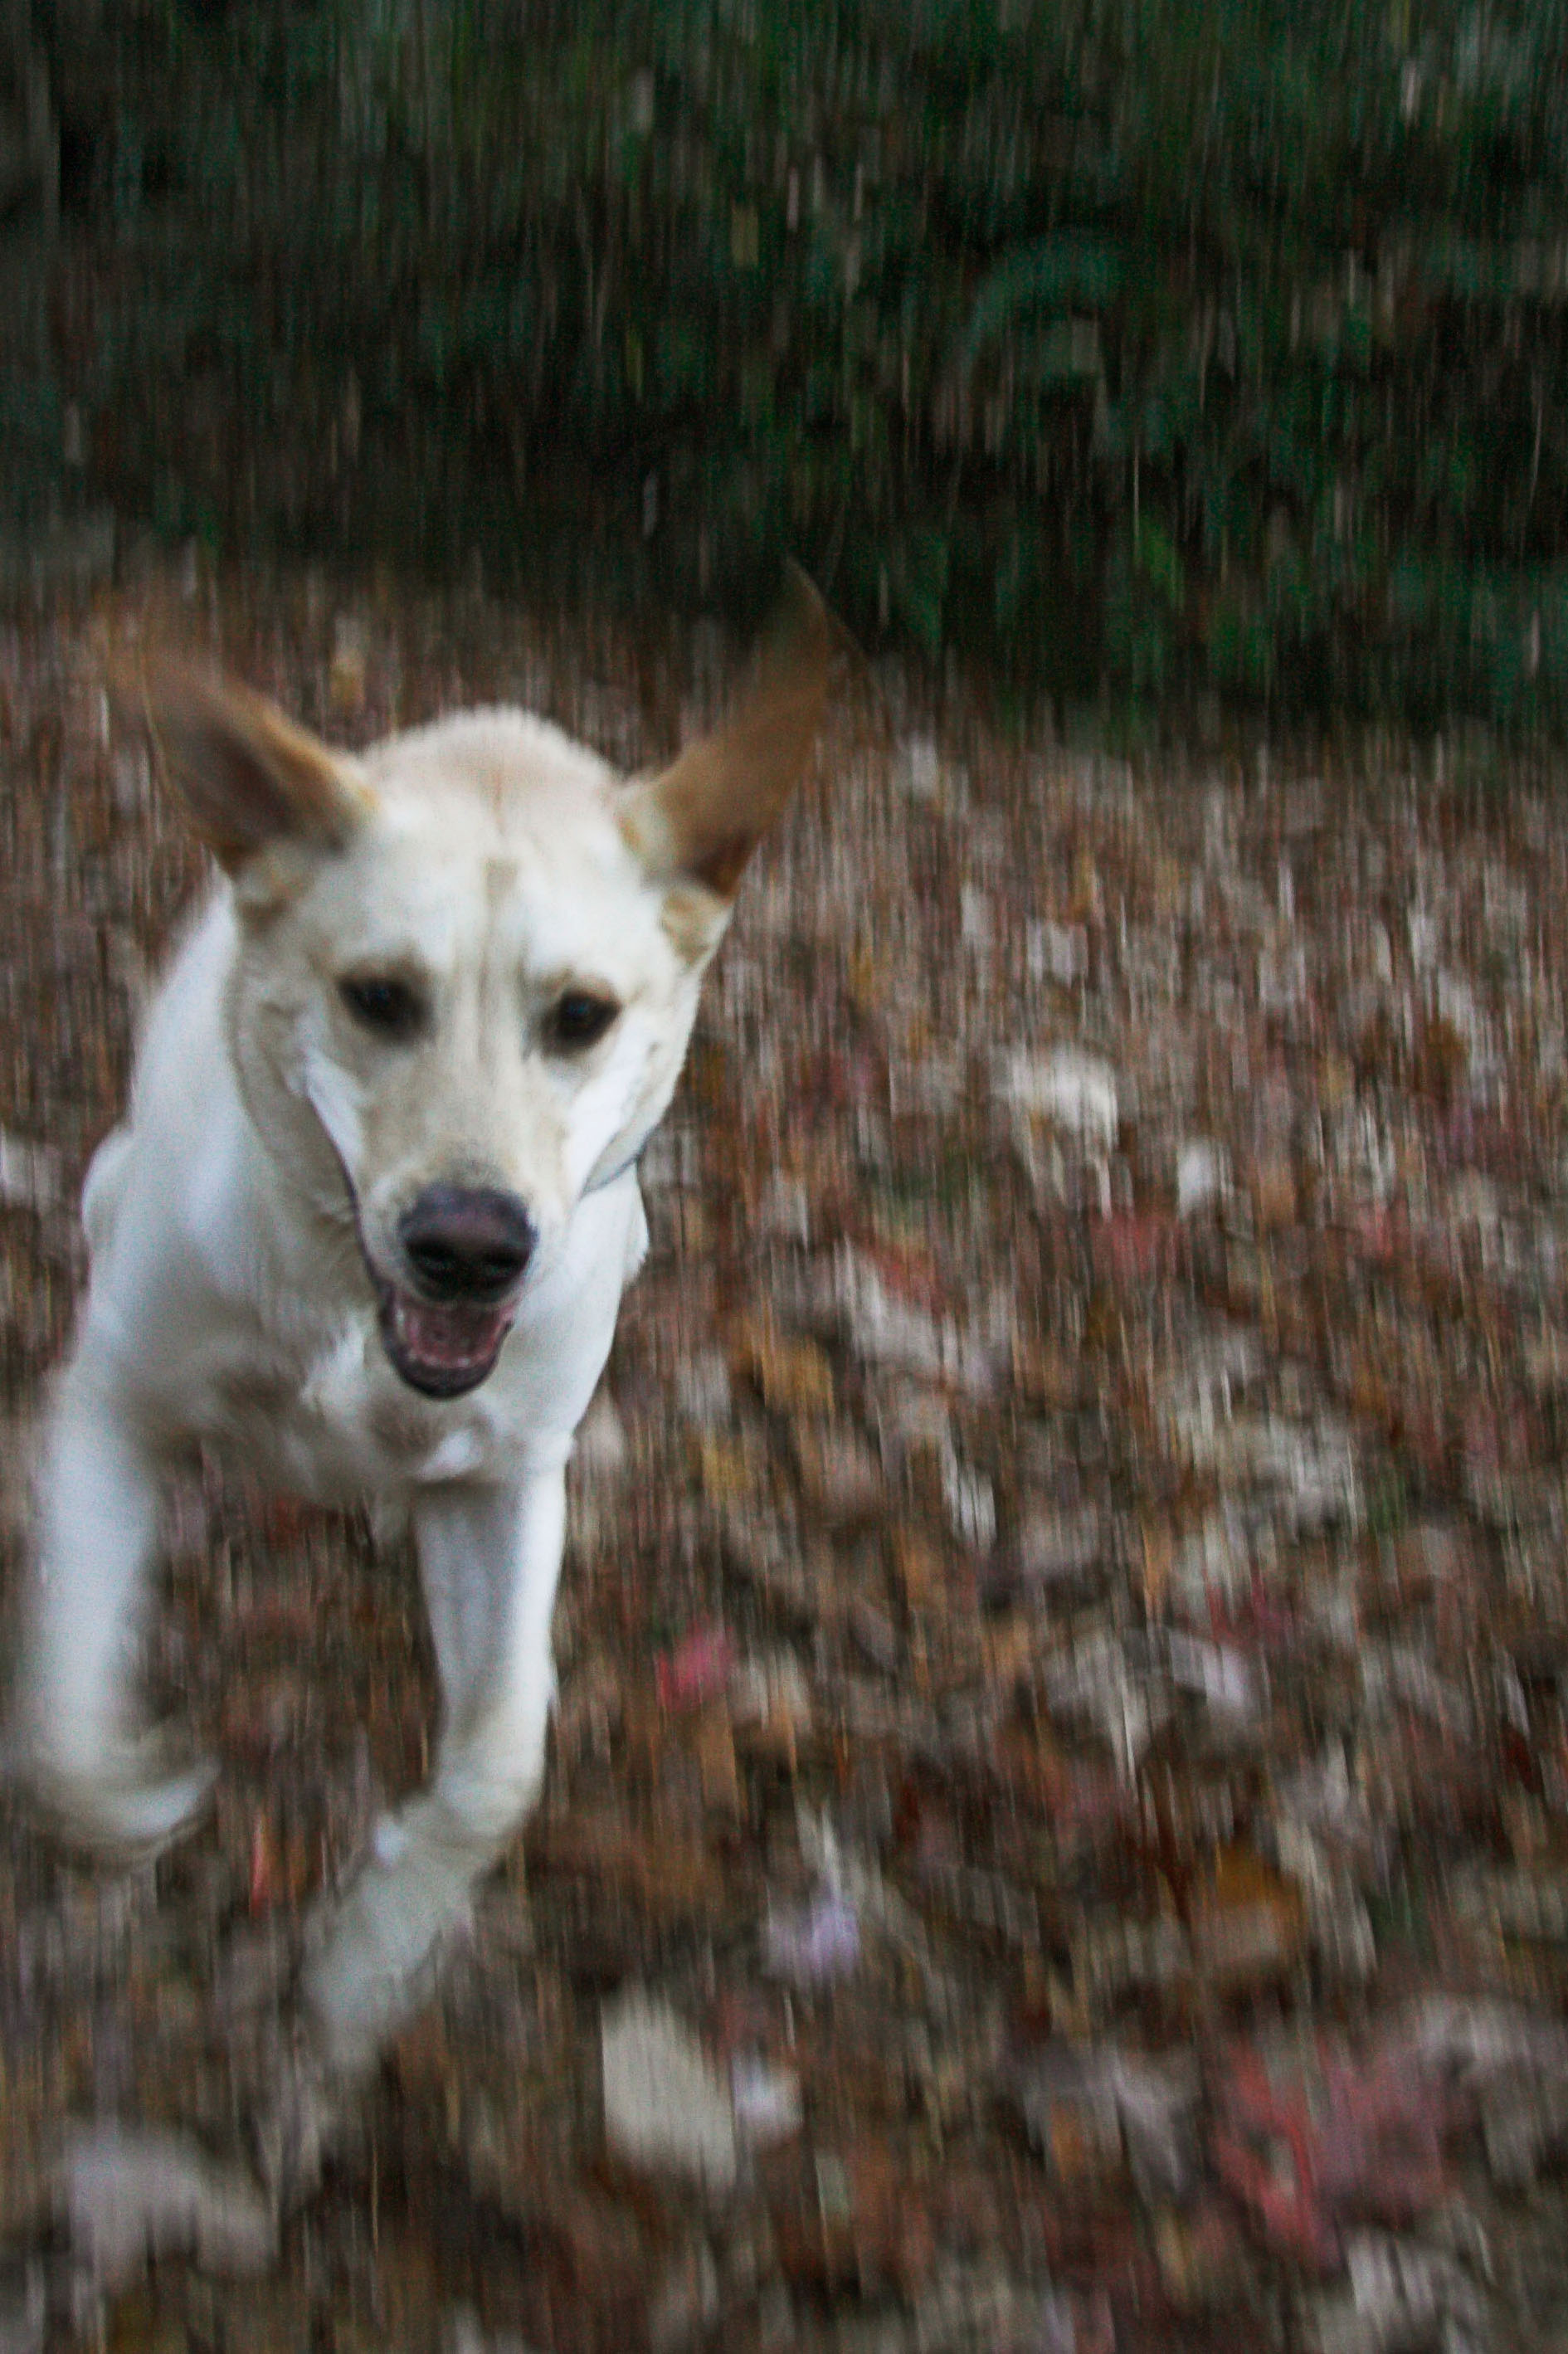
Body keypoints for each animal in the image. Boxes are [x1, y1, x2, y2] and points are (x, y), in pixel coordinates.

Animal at [18, 569, 838, 2080]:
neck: (352, 1303)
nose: (470, 1247)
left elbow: (500, 1766)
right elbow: (61, 1717)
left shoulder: (510, 1489)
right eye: (377, 996)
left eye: (581, 1015)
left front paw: (368, 1956)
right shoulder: (117, 1404)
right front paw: (133, 1798)